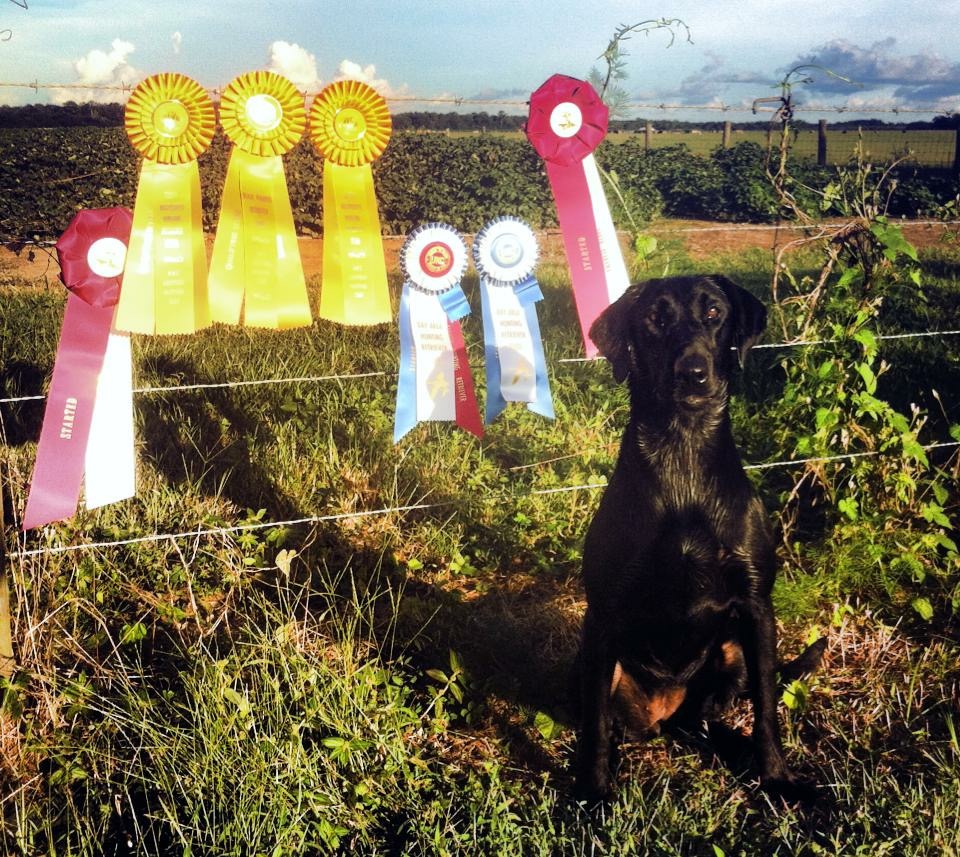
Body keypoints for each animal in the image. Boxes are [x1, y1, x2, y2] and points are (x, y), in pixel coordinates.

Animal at [572, 274, 820, 804]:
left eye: (713, 313)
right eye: (655, 318)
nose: (693, 373)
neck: (683, 455)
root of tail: (665, 713)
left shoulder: (756, 606)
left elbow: (767, 707)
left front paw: (776, 778)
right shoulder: (601, 615)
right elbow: (595, 722)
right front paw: (594, 792)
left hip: (731, 652)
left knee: (713, 713)